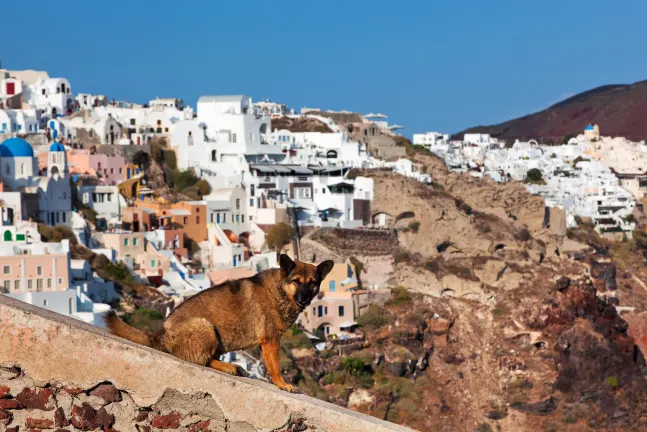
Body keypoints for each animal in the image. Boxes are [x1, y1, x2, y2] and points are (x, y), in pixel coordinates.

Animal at [104, 253, 334, 392]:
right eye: (296, 281)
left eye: (313, 283)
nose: (305, 297)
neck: (280, 290)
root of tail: (159, 334)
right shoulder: (270, 341)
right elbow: (275, 367)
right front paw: (282, 384)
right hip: (205, 327)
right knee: (202, 360)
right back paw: (228, 367)